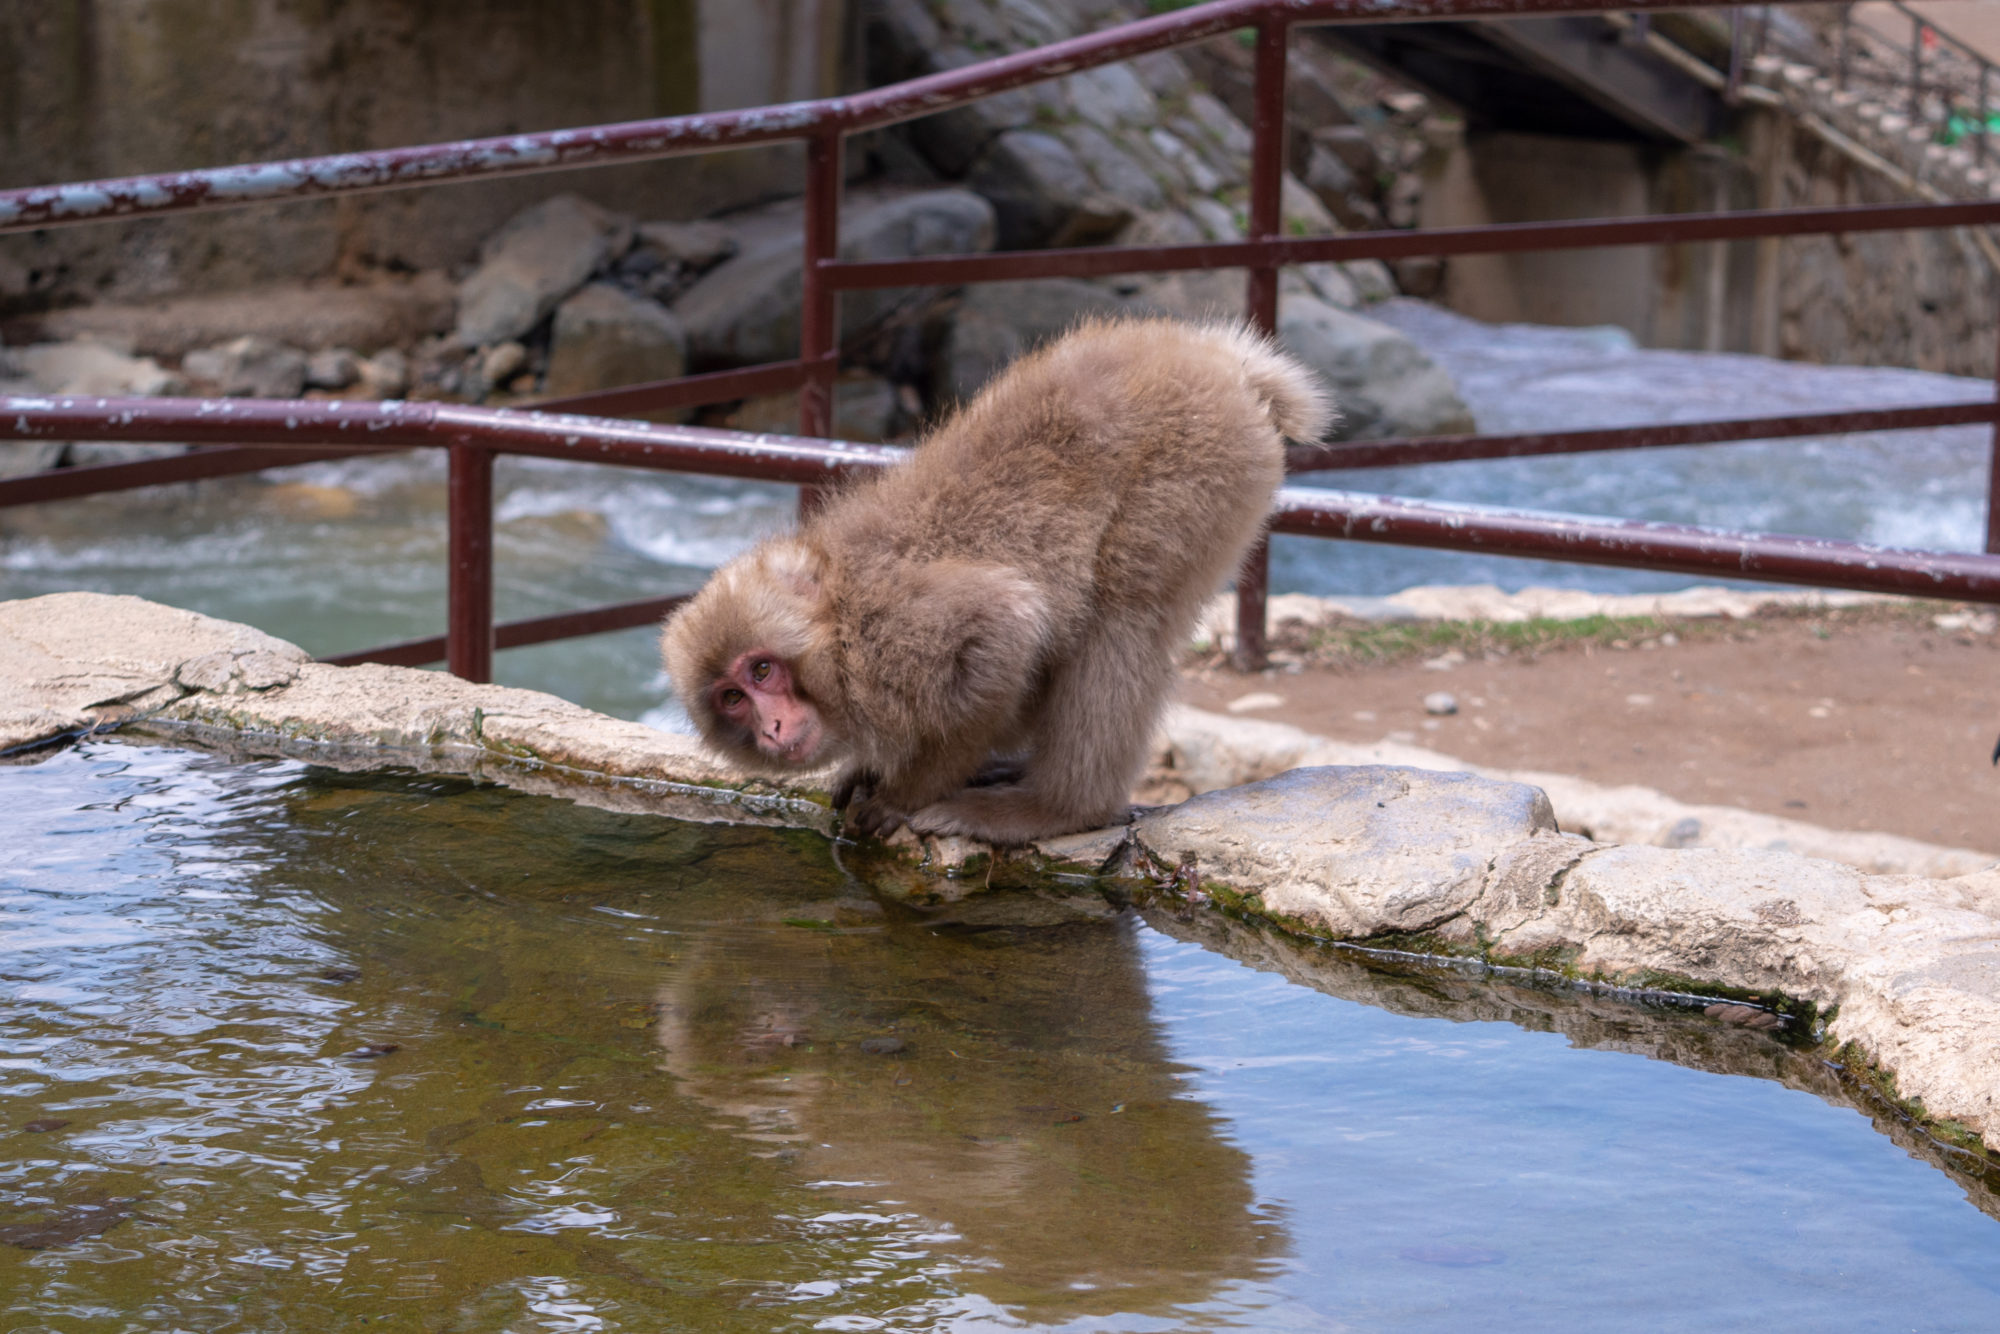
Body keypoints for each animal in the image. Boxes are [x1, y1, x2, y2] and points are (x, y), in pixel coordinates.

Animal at [664, 318, 1336, 840]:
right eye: (732, 698)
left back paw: (1057, 808)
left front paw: (910, 789)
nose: (771, 727)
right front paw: (882, 768)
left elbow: (1005, 626)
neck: (838, 623)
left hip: (1198, 461)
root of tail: (1227, 362)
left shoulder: (894, 628)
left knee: (1125, 614)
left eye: (761, 670)